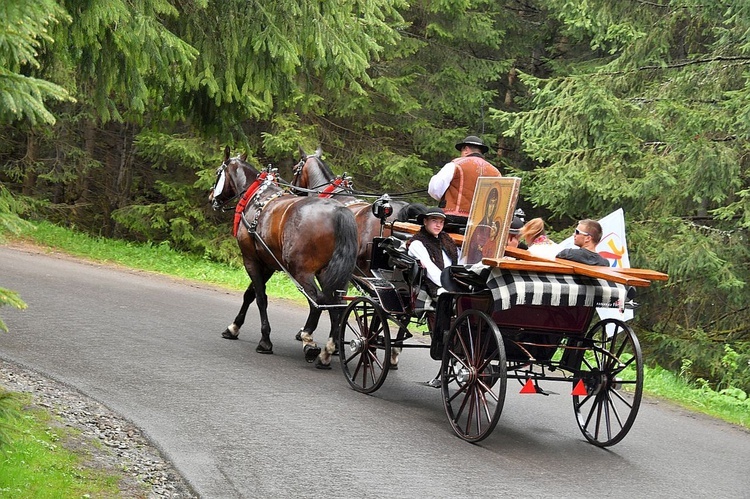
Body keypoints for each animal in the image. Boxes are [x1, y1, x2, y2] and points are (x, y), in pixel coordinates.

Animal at [210, 146, 360, 370]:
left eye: (218, 172)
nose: (212, 197)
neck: (256, 198)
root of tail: (339, 211)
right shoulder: (268, 264)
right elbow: (250, 294)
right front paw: (234, 327)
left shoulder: (251, 260)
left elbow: (260, 298)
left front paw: (265, 340)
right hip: (329, 272)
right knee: (336, 304)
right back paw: (327, 350)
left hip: (301, 271)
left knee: (317, 300)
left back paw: (309, 340)